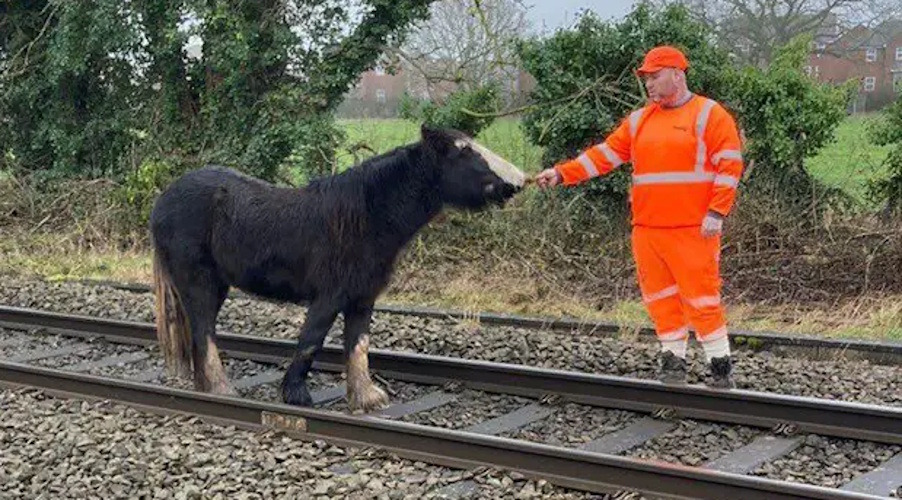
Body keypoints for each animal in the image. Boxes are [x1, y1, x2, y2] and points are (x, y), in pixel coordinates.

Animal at [149, 125, 527, 413]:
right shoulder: (329, 296)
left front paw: (365, 397)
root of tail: (163, 199)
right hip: (197, 280)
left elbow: (358, 345)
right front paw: (297, 395)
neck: (367, 216)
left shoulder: (362, 298)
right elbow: (311, 341)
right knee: (204, 332)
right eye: (464, 152)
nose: (518, 182)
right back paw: (221, 391)